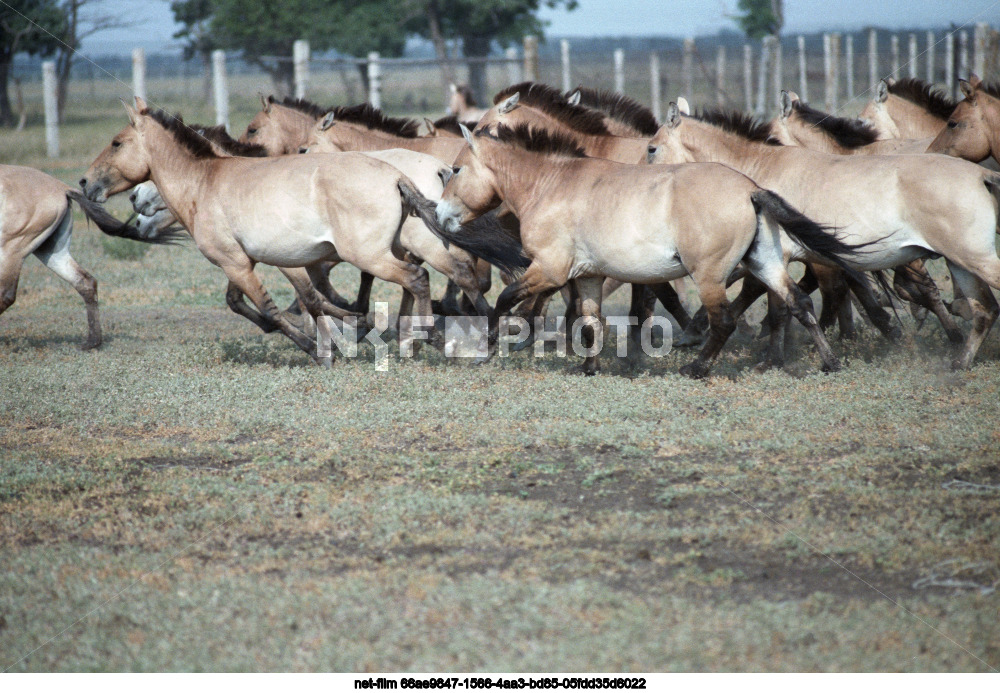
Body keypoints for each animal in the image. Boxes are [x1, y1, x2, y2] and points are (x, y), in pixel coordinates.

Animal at [0, 165, 182, 348]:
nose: (139, 222)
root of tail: (62, 188)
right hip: (50, 250)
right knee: (84, 282)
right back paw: (92, 342)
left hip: (13, 248)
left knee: (7, 294)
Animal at [438, 121, 868, 376]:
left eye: (455, 170)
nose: (440, 215)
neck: (551, 185)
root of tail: (749, 189)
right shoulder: (588, 276)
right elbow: (590, 321)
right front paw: (590, 368)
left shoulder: (549, 270)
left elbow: (505, 299)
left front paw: (487, 348)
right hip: (764, 264)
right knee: (799, 303)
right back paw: (830, 363)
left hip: (709, 275)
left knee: (724, 321)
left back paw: (696, 368)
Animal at [644, 104, 1000, 368]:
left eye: (651, 148)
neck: (758, 173)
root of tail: (982, 174)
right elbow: (782, 304)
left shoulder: (778, 257)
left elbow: (776, 306)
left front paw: (770, 357)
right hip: (959, 263)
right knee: (983, 309)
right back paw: (959, 361)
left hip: (974, 258)